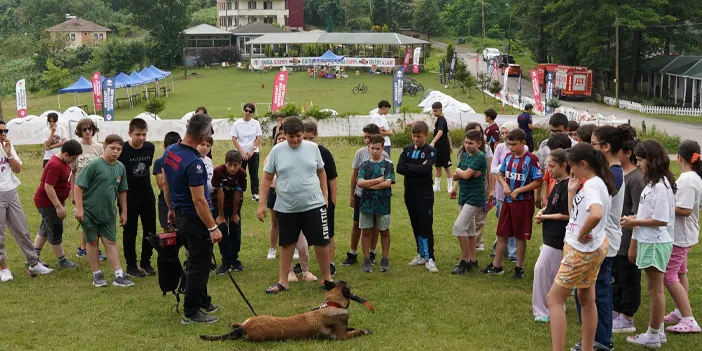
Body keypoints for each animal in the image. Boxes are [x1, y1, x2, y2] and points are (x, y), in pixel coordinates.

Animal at [199, 282, 374, 342]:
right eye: (350, 288)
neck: (333, 304)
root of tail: (245, 328)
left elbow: (352, 327)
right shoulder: (341, 336)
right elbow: (356, 331)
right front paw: (365, 331)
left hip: (254, 318)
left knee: (240, 322)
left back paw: (234, 323)